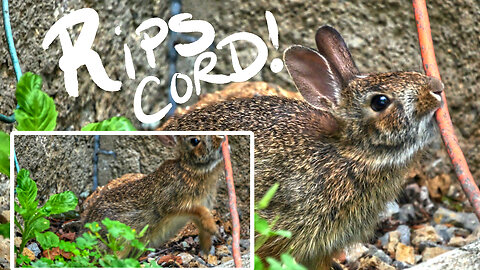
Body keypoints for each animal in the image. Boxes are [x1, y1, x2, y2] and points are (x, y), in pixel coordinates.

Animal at [79, 134, 225, 255]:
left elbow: (203, 229)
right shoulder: (172, 204)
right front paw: (214, 231)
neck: (191, 169)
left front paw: (207, 250)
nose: (221, 140)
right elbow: (198, 211)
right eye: (195, 140)